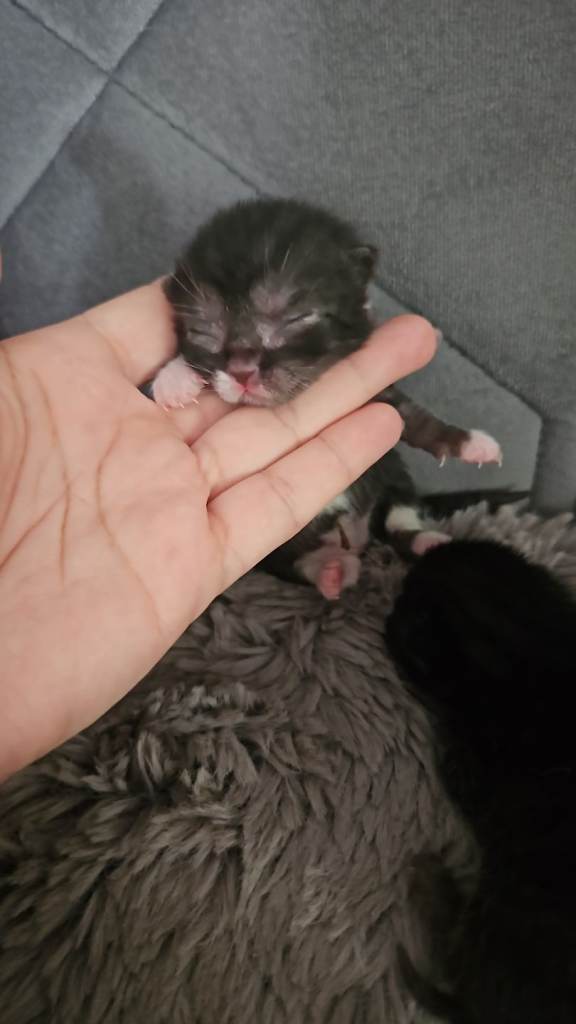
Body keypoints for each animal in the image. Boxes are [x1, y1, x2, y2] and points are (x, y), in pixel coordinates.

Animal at [148, 198, 501, 598]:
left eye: (295, 319)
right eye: (203, 332)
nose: (241, 371)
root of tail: (354, 539)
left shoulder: (381, 397)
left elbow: (419, 422)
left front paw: (471, 443)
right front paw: (174, 378)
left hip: (392, 475)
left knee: (396, 521)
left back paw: (428, 541)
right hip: (280, 551)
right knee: (299, 562)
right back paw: (330, 571)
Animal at [386, 539, 576, 1023]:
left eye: (407, 617)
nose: (391, 608)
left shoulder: (470, 770)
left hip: (508, 908)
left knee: (453, 959)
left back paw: (426, 878)